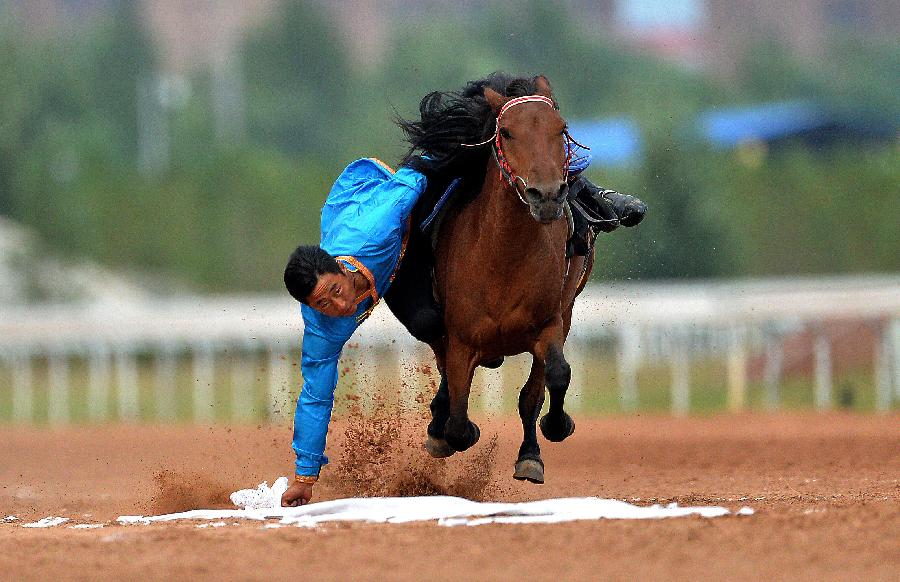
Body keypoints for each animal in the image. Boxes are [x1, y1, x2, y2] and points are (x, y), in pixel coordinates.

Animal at [398, 72, 596, 484]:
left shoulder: (549, 323)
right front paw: (452, 429)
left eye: (561, 128)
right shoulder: (461, 338)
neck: (504, 260)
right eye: (505, 132)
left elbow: (553, 377)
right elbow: (458, 420)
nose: (547, 195)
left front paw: (547, 437)